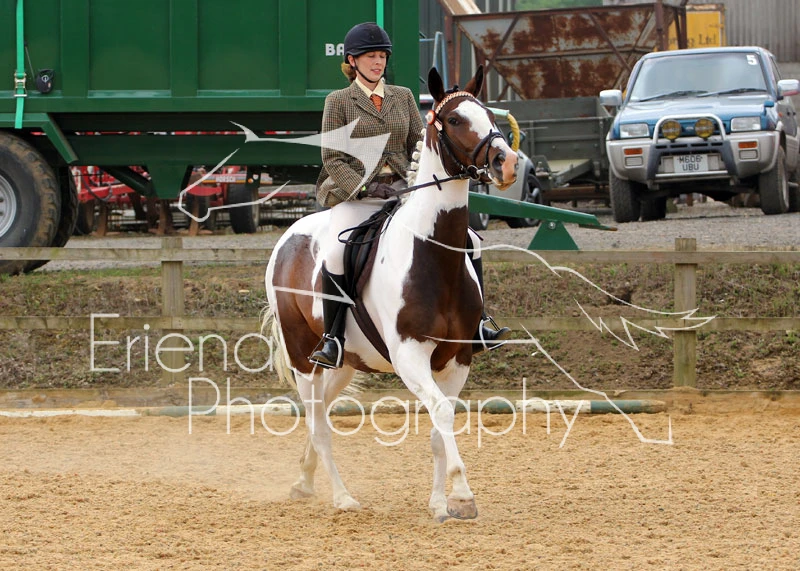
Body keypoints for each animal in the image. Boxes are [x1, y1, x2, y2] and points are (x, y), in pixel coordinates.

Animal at [263, 66, 518, 522]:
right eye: (455, 119)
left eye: (489, 113)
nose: (506, 162)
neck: (434, 256)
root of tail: (288, 236)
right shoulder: (410, 356)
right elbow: (440, 412)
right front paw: (462, 495)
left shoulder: (457, 358)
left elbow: (440, 425)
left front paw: (439, 503)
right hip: (303, 356)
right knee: (317, 422)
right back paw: (342, 497)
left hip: (345, 361)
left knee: (321, 412)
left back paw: (304, 482)